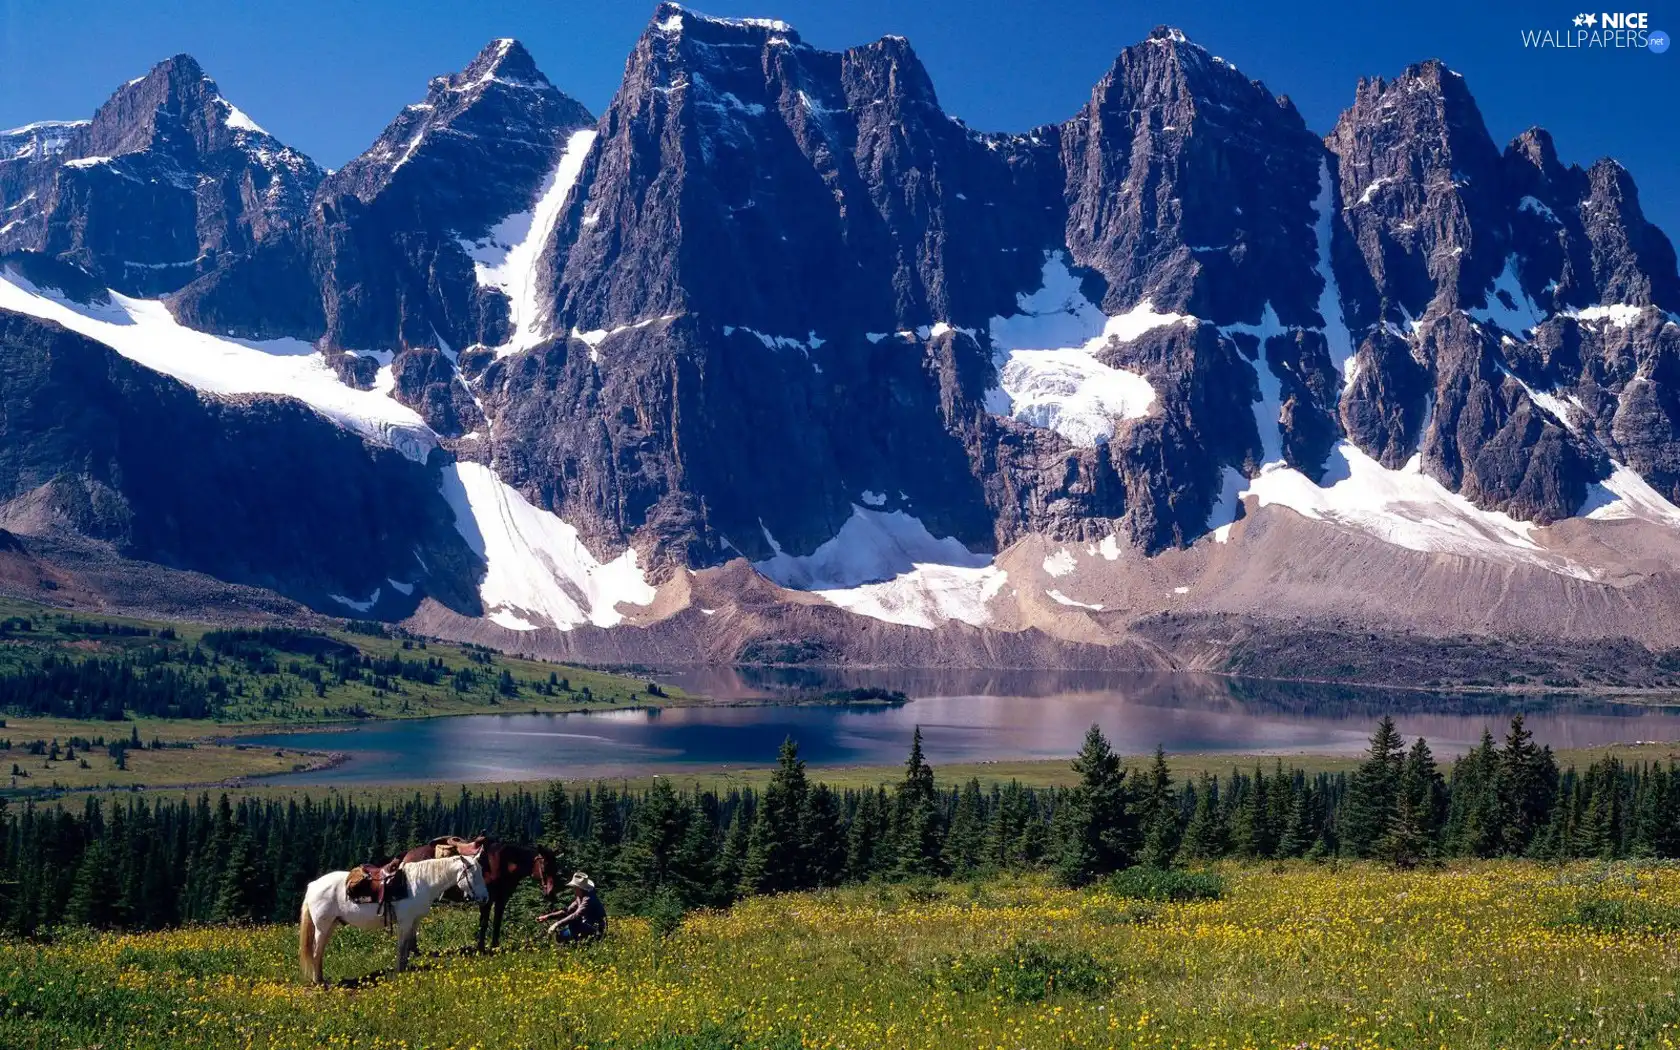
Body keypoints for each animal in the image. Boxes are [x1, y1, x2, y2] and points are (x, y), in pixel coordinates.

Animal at [297, 853, 487, 981]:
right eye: (473, 875)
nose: (485, 898)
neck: (421, 883)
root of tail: (313, 885)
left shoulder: (414, 922)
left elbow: (408, 946)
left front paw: (404, 969)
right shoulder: (405, 922)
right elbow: (402, 947)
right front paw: (399, 972)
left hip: (331, 925)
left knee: (319, 951)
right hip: (322, 927)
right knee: (316, 951)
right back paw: (319, 982)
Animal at [396, 836, 561, 947]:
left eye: (556, 867)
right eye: (545, 867)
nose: (551, 893)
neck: (504, 863)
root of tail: (406, 855)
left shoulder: (501, 900)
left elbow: (497, 922)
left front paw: (494, 947)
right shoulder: (486, 900)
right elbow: (484, 923)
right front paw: (481, 948)